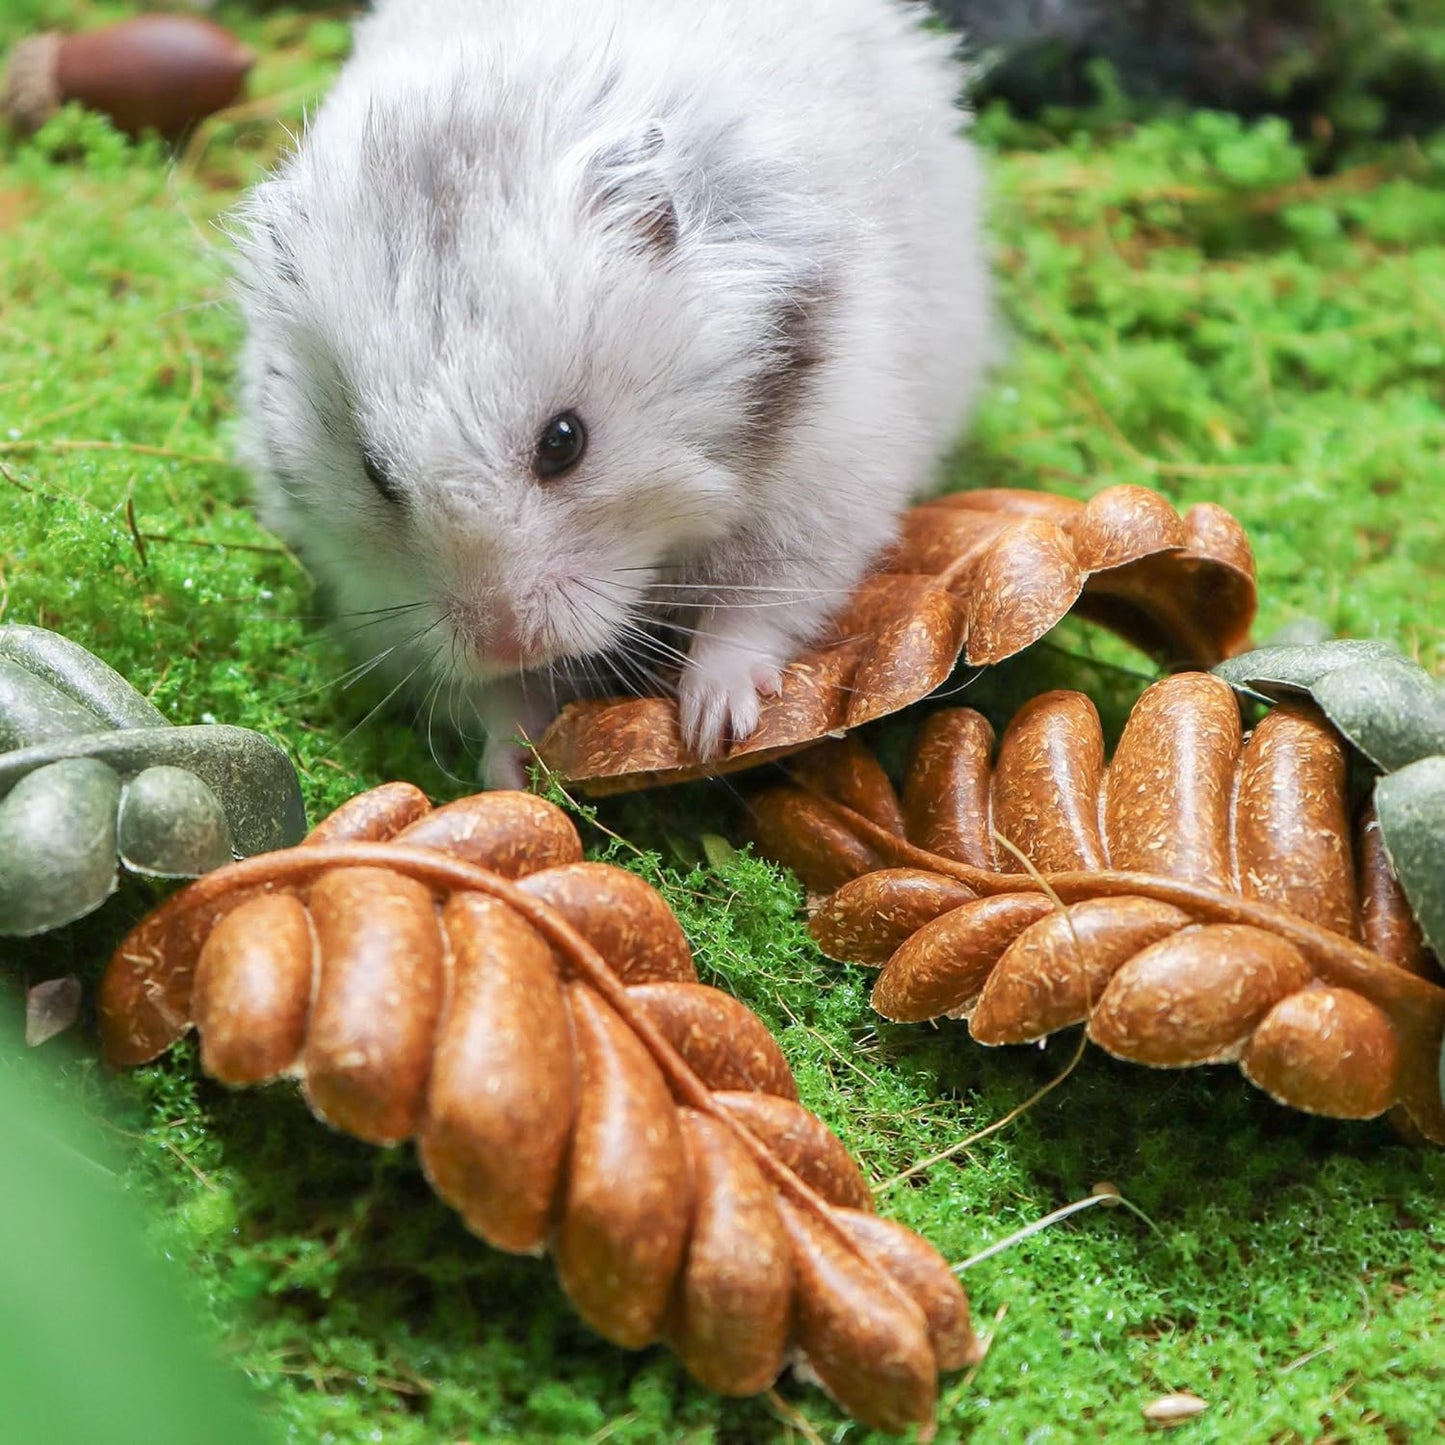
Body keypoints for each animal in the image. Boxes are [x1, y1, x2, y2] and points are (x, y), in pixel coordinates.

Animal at [233, 0, 993, 787]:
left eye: (564, 442)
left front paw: (712, 727)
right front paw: (510, 769)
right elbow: (494, 700)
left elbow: (751, 611)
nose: (507, 642)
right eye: (375, 476)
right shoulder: (375, 595)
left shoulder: (819, 500)